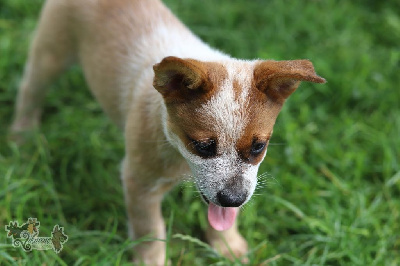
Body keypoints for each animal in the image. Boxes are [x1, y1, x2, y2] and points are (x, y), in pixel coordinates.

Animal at [10, 0, 326, 262]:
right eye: (202, 146)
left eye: (258, 147)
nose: (233, 199)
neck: (176, 152)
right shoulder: (139, 182)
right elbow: (151, 233)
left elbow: (223, 219)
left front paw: (227, 245)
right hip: (50, 53)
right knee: (29, 92)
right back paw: (22, 137)